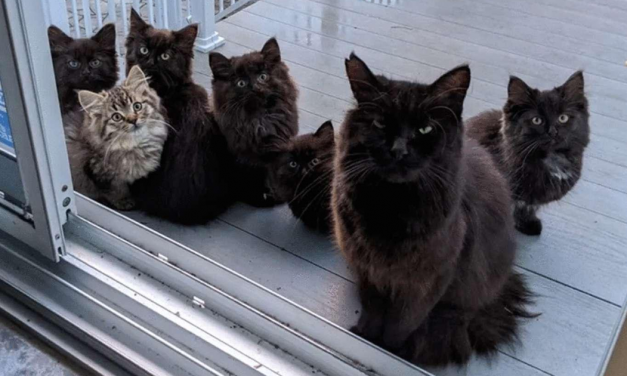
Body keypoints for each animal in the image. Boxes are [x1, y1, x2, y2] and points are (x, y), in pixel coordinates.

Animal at [64, 65, 167, 210]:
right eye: (116, 117)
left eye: (137, 106)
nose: (133, 120)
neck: (133, 145)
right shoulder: (97, 171)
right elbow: (115, 189)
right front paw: (124, 201)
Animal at [210, 38, 300, 207]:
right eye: (241, 83)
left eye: (263, 77)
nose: (257, 88)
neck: (260, 119)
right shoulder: (244, 159)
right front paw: (266, 198)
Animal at [334, 55, 536, 368]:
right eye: (380, 123)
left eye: (425, 129)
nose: (399, 150)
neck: (392, 208)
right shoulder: (366, 268)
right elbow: (373, 309)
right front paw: (365, 336)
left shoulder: (428, 281)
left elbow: (401, 323)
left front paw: (388, 350)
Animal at [466, 73, 592, 235]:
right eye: (537, 120)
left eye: (563, 118)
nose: (552, 131)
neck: (550, 160)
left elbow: (527, 207)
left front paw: (527, 223)